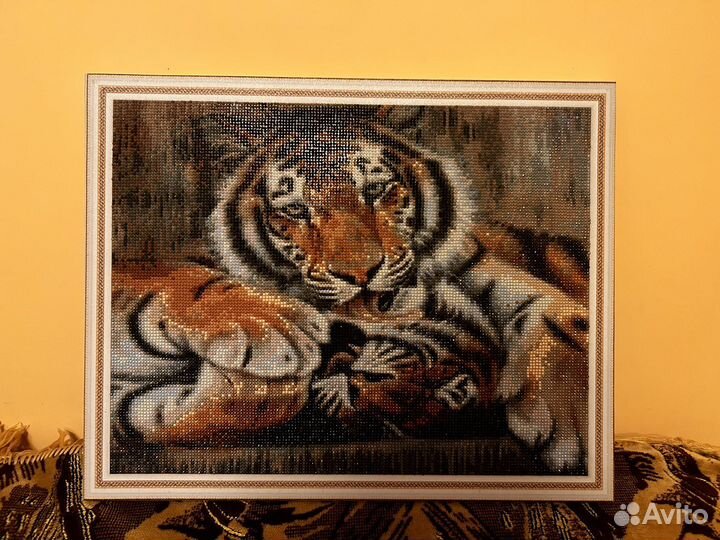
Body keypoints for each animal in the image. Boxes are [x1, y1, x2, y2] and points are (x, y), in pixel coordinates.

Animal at [111, 108, 590, 472]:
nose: (360, 276)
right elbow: (183, 281)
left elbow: (555, 315)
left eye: (376, 190)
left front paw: (572, 422)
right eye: (296, 210)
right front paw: (278, 334)